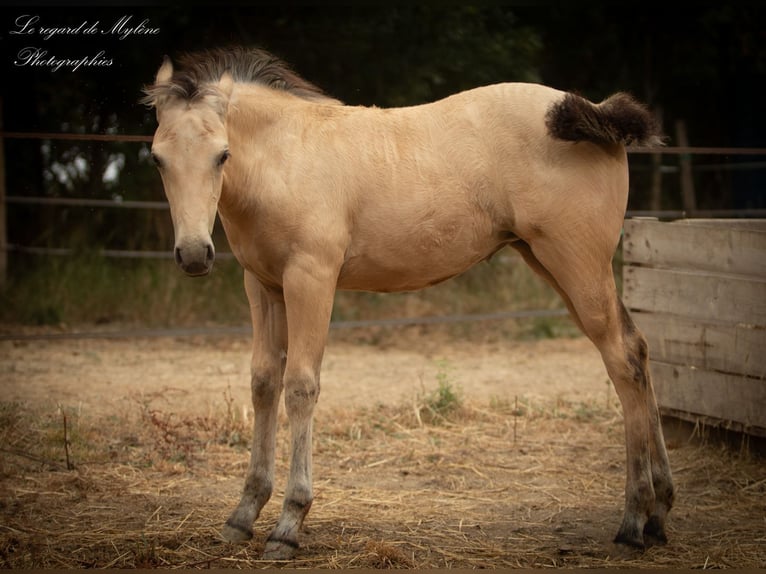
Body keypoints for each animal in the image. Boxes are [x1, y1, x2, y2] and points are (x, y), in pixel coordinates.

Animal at [142, 47, 674, 560]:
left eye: (222, 154)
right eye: (157, 159)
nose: (194, 254)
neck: (287, 156)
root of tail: (593, 111)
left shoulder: (311, 279)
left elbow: (300, 387)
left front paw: (288, 526)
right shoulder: (262, 285)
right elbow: (263, 384)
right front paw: (243, 514)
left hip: (577, 265)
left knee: (623, 360)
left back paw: (633, 521)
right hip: (552, 264)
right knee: (638, 349)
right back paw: (659, 514)